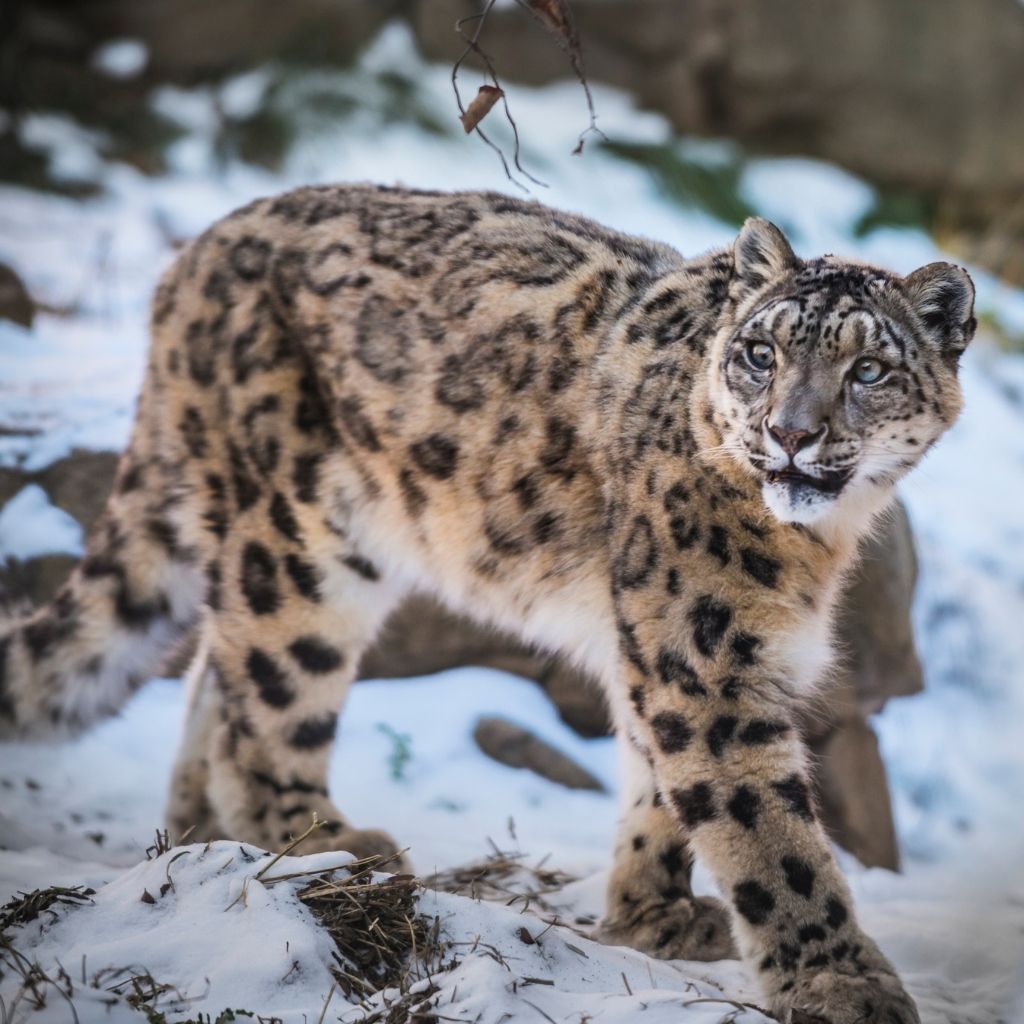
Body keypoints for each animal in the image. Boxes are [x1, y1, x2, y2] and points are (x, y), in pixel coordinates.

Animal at [0, 180, 974, 1019]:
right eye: (760, 354)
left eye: (869, 370)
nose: (790, 433)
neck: (818, 544)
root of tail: (193, 255)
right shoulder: (705, 656)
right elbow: (770, 835)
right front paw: (842, 984)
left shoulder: (675, 644)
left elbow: (655, 784)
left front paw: (651, 918)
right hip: (301, 538)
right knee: (268, 696)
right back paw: (319, 843)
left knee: (217, 666)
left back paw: (204, 841)